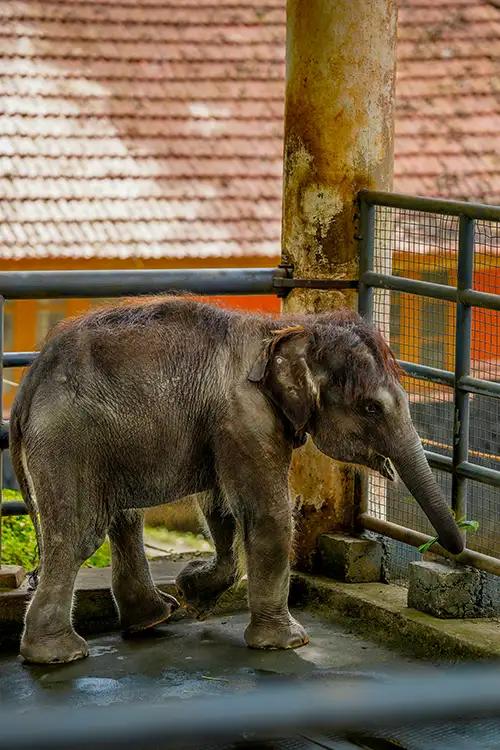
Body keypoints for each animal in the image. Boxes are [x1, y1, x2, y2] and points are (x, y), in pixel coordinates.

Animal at [10, 296, 464, 668]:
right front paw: (288, 643)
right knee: (79, 536)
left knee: (124, 519)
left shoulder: (223, 427)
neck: (289, 328)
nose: (454, 550)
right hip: (69, 443)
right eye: (371, 408)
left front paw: (195, 593)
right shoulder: (245, 416)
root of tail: (28, 387)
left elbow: (221, 508)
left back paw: (154, 617)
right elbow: (267, 514)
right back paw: (59, 655)